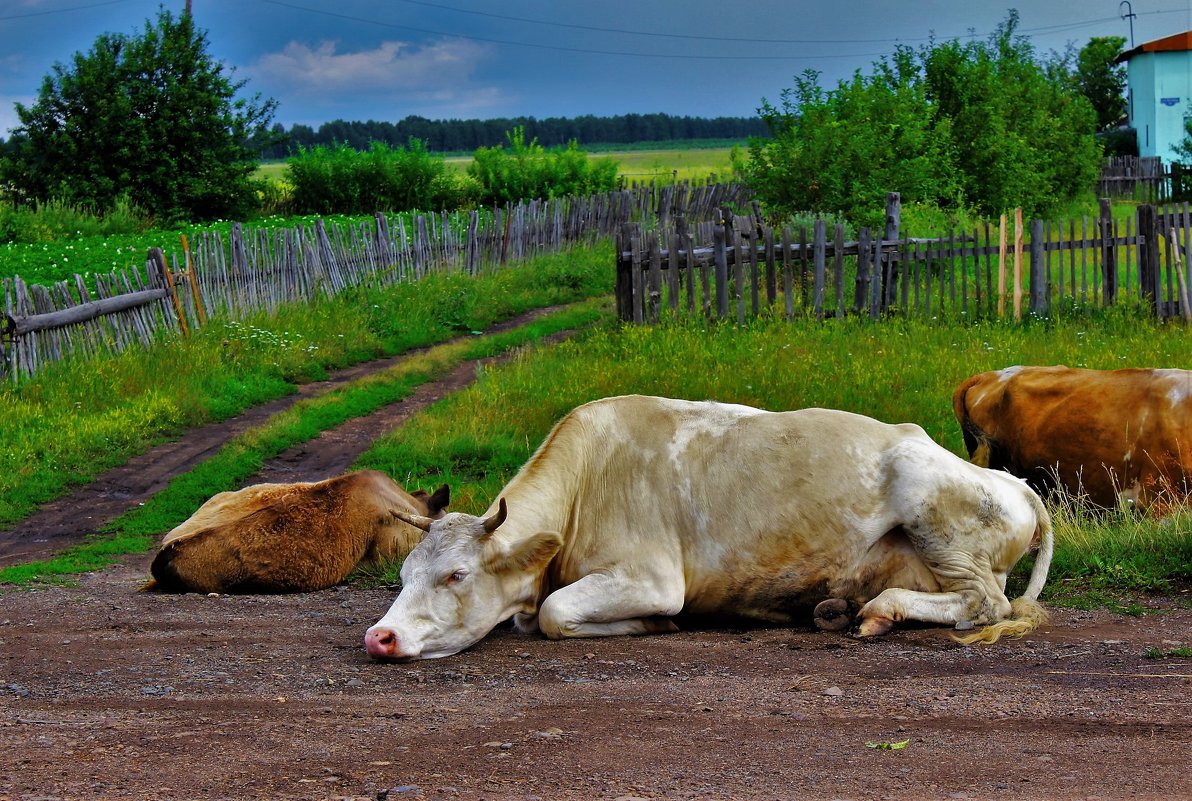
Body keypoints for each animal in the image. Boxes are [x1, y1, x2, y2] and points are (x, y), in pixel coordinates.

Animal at [362, 398, 1053, 657]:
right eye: (402, 575)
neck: (586, 480)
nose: (379, 637)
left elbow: (556, 614)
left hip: (934, 511)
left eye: (456, 575)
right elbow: (536, 614)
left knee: (985, 604)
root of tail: (1011, 481)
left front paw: (653, 625)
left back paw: (879, 611)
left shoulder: (652, 577)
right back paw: (837, 607)